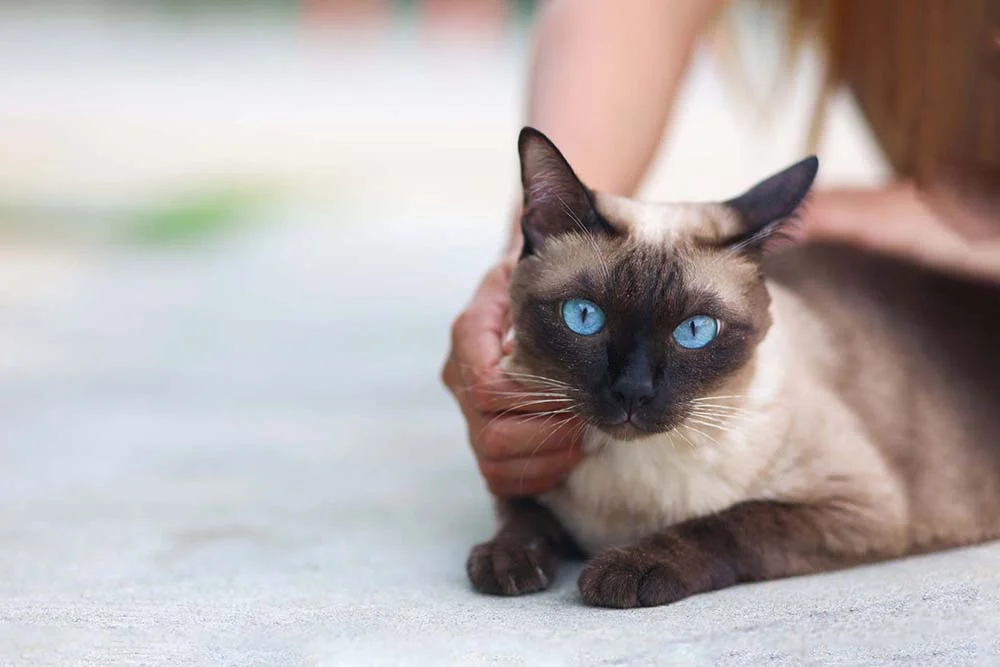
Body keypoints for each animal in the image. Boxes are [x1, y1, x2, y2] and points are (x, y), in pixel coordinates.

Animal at [464, 126, 1000, 612]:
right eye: (583, 317)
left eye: (695, 330)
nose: (632, 392)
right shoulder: (522, 469)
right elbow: (526, 518)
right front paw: (505, 562)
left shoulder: (859, 509)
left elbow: (730, 522)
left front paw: (629, 569)